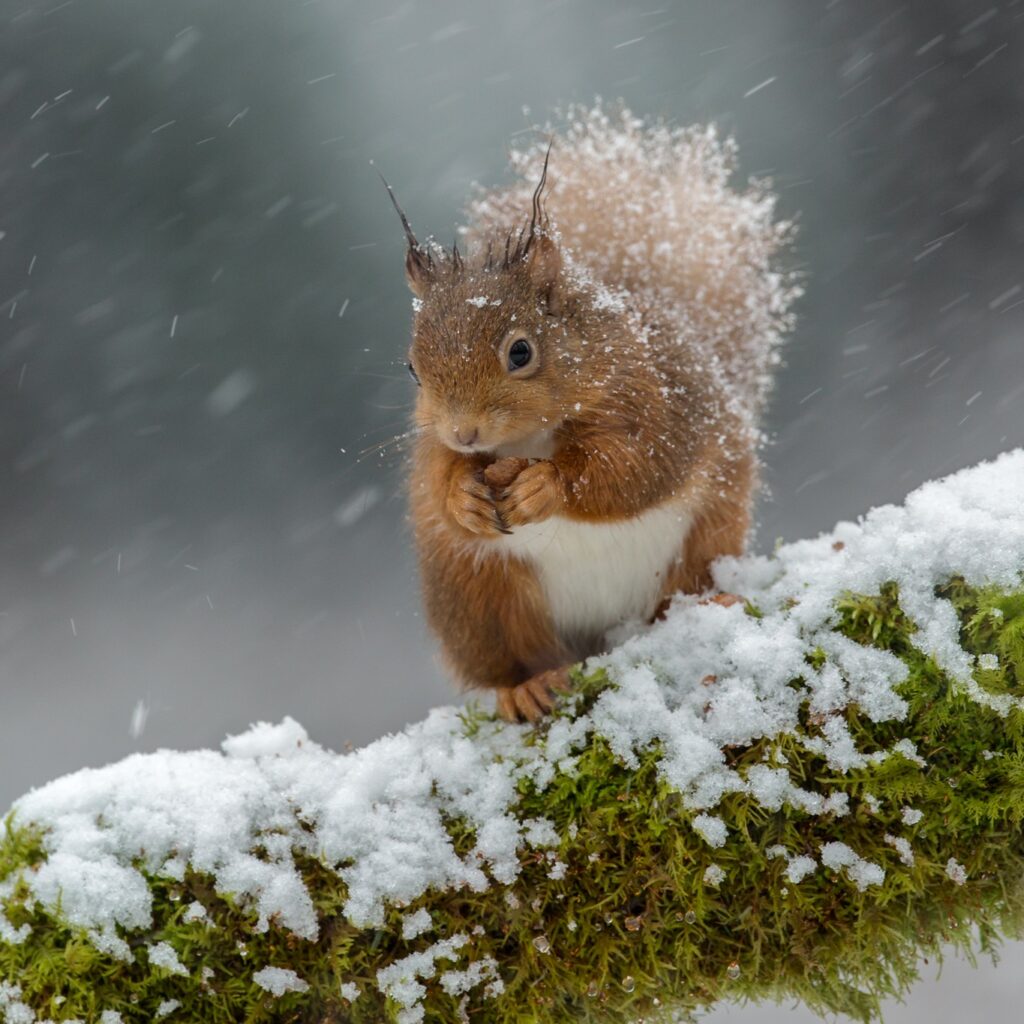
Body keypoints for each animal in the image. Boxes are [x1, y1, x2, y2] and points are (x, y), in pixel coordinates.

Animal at [387, 104, 796, 723]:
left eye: (521, 352)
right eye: (413, 369)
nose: (464, 433)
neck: (527, 440)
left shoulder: (651, 401)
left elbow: (631, 471)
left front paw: (547, 485)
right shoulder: (433, 452)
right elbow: (437, 488)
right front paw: (464, 497)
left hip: (707, 533)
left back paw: (711, 601)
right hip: (477, 600)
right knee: (510, 657)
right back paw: (525, 687)